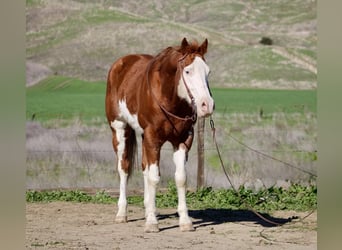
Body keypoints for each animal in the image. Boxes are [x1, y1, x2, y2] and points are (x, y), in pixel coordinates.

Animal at [105, 37, 215, 232]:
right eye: (188, 71)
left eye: (207, 72)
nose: (206, 105)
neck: (169, 98)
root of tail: (120, 64)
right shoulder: (153, 139)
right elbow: (154, 178)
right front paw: (151, 222)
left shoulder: (183, 140)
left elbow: (180, 178)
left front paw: (185, 221)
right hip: (119, 129)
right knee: (124, 168)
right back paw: (122, 213)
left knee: (144, 168)